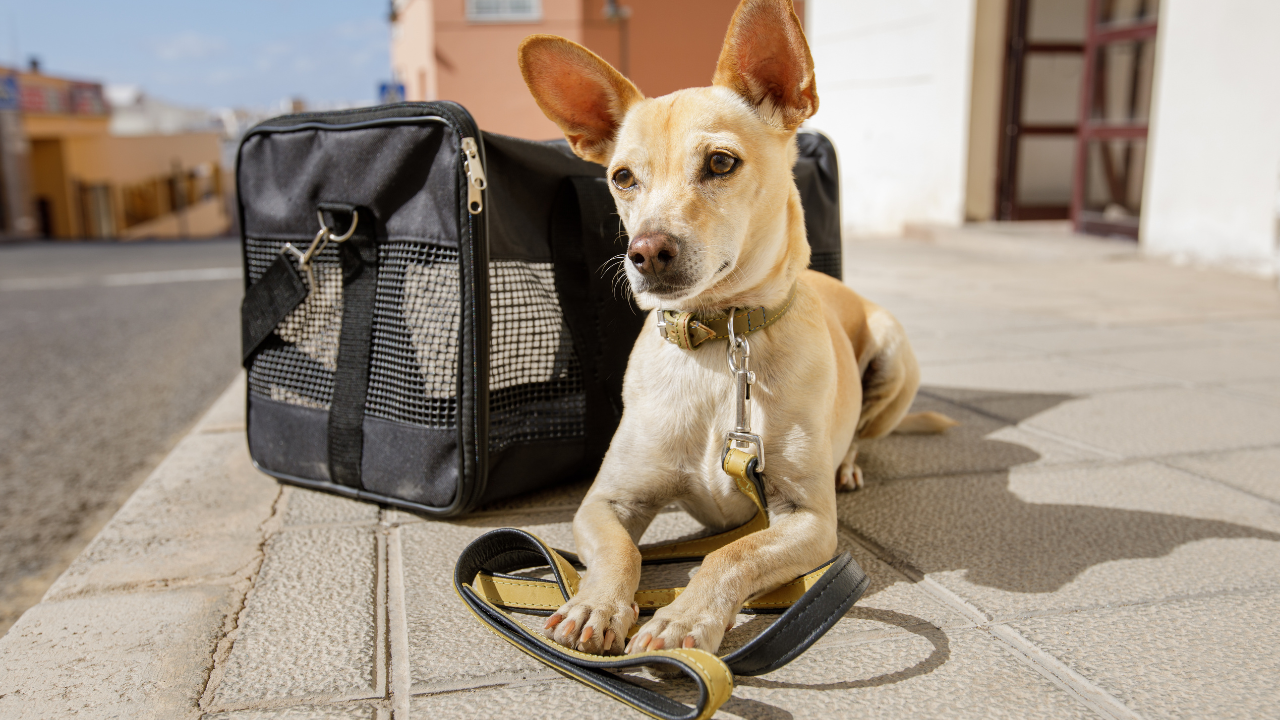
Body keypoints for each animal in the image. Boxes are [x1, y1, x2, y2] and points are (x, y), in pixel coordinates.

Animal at [517, 0, 952, 655]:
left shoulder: (808, 519)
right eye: (622, 177)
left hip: (895, 354)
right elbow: (619, 553)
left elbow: (731, 557)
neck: (720, 341)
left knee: (865, 433)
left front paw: (683, 618)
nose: (646, 253)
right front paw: (596, 602)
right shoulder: (604, 502)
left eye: (720, 162)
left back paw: (849, 462)